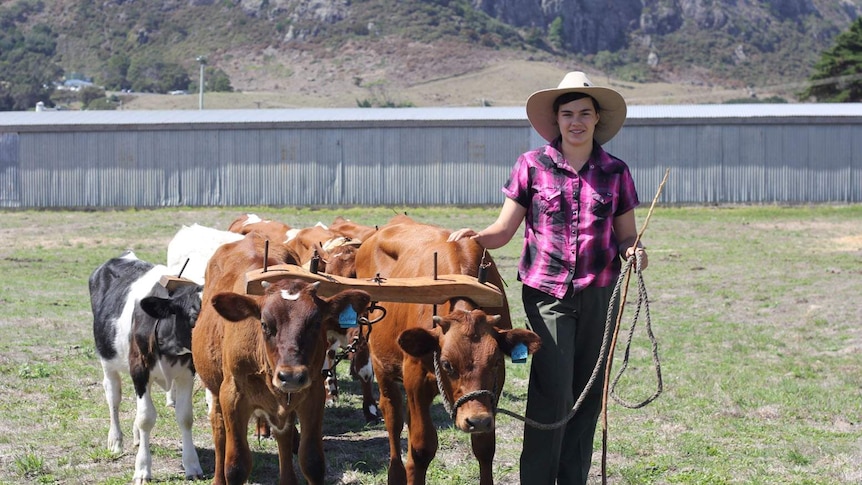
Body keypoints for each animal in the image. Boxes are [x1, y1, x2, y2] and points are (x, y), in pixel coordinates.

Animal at [90, 251, 205, 482]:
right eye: (193, 315)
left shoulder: (187, 372)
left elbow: (185, 416)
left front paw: (192, 465)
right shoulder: (139, 369)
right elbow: (146, 418)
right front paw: (142, 469)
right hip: (107, 360)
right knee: (113, 398)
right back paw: (115, 441)